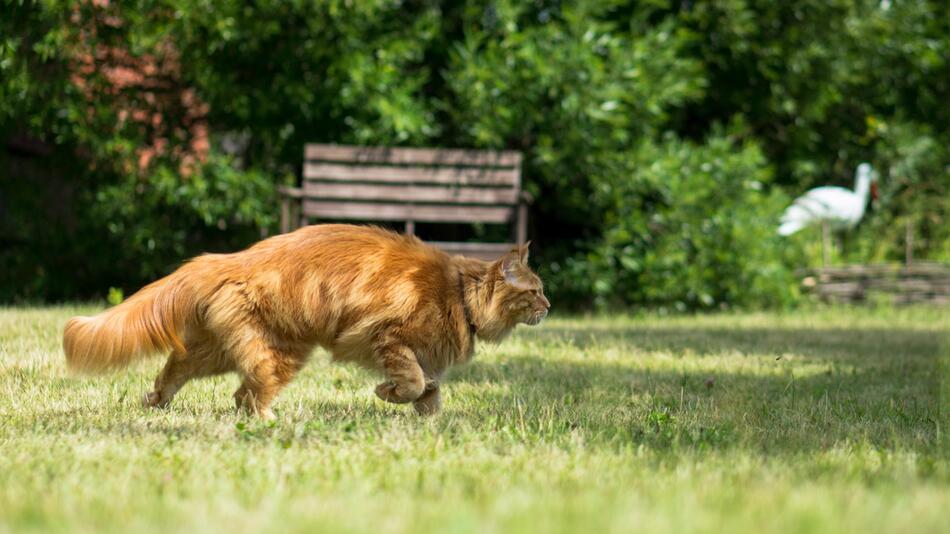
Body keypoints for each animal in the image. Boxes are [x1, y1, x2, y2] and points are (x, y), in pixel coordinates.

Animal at [61, 224, 552, 420]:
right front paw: (387, 394)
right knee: (250, 393)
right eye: (534, 291)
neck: (460, 294)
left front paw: (426, 424)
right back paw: (268, 421)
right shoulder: (390, 338)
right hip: (280, 354)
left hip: (221, 351)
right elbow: (412, 382)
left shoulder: (425, 359)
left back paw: (156, 403)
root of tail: (226, 258)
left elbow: (429, 394)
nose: (549, 306)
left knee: (185, 374)